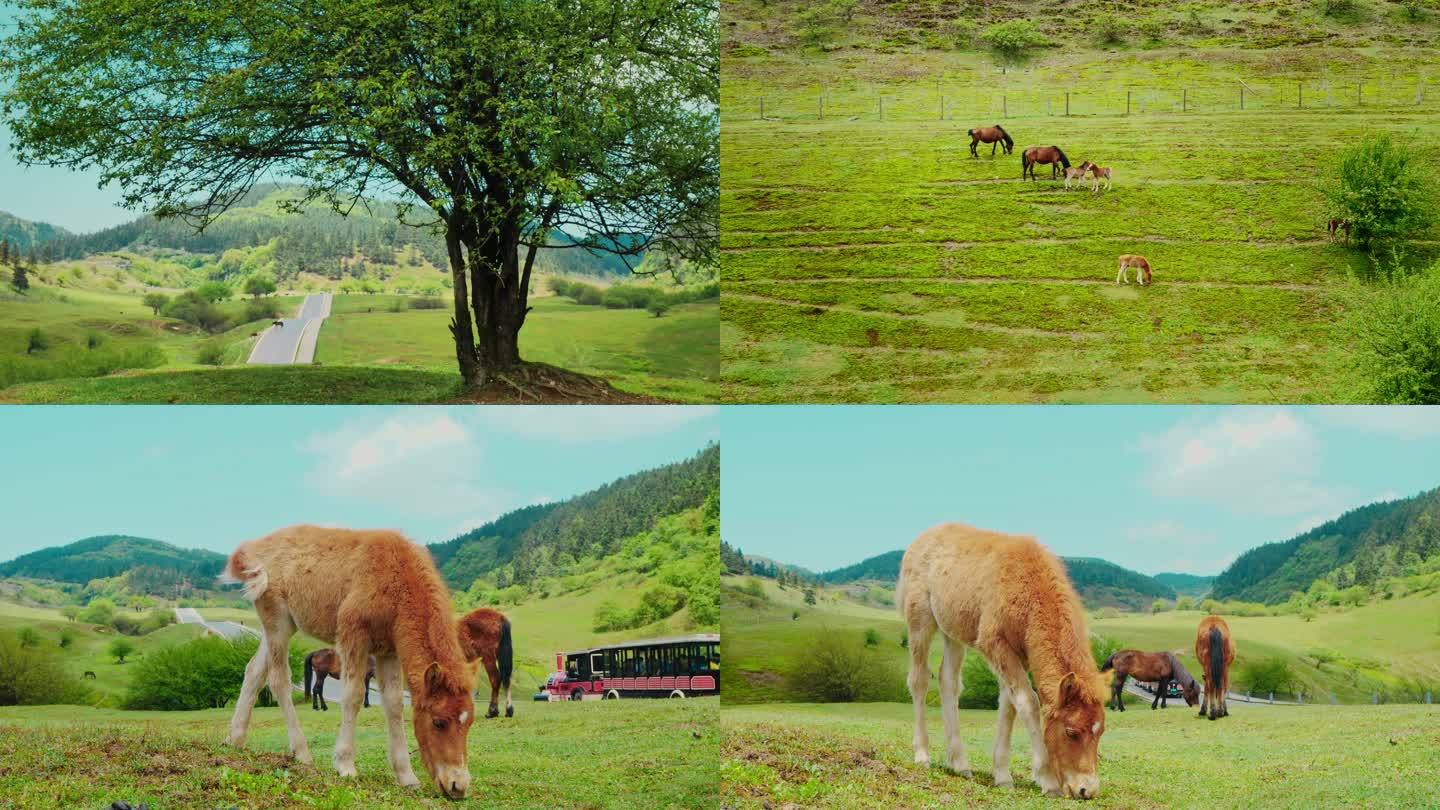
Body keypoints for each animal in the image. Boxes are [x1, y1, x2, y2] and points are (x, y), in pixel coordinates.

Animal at [218, 524, 478, 795]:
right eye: (438, 722)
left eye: (470, 722)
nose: (458, 785)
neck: (397, 576)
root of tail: (254, 548)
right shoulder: (352, 634)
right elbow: (353, 695)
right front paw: (345, 765)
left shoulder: (388, 651)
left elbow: (394, 704)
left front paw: (406, 776)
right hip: (277, 619)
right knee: (278, 679)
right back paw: (301, 752)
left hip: (280, 626)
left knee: (254, 671)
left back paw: (234, 739)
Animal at [892, 524, 1105, 795]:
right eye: (1071, 732)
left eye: (1101, 732)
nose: (1086, 790)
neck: (1029, 588)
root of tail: (923, 536)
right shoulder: (994, 643)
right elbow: (1027, 702)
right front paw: (1047, 779)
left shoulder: (1019, 653)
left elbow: (1009, 703)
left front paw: (1002, 776)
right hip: (919, 618)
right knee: (919, 679)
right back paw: (922, 754)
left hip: (953, 630)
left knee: (948, 681)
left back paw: (959, 763)